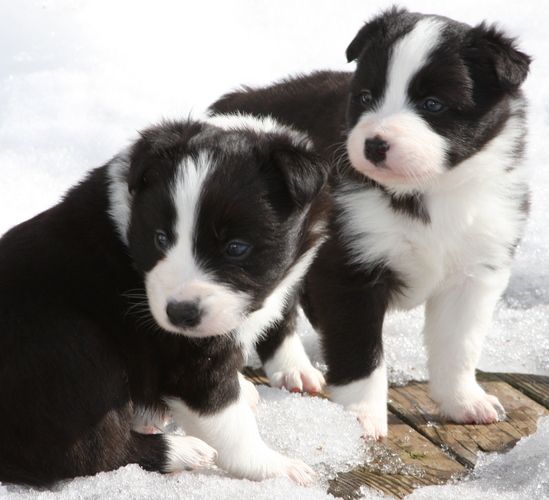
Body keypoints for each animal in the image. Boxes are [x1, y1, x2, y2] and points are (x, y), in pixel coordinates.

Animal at [0, 114, 329, 485]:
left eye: (236, 248)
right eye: (160, 239)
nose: (179, 314)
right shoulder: (187, 358)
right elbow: (227, 420)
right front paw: (276, 467)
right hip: (72, 351)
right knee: (93, 453)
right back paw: (183, 451)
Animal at [210, 7, 531, 438]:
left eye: (433, 104)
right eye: (365, 98)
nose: (374, 144)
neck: (426, 193)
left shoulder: (477, 268)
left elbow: (459, 345)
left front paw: (463, 401)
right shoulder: (348, 268)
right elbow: (360, 351)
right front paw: (359, 418)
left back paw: (295, 371)